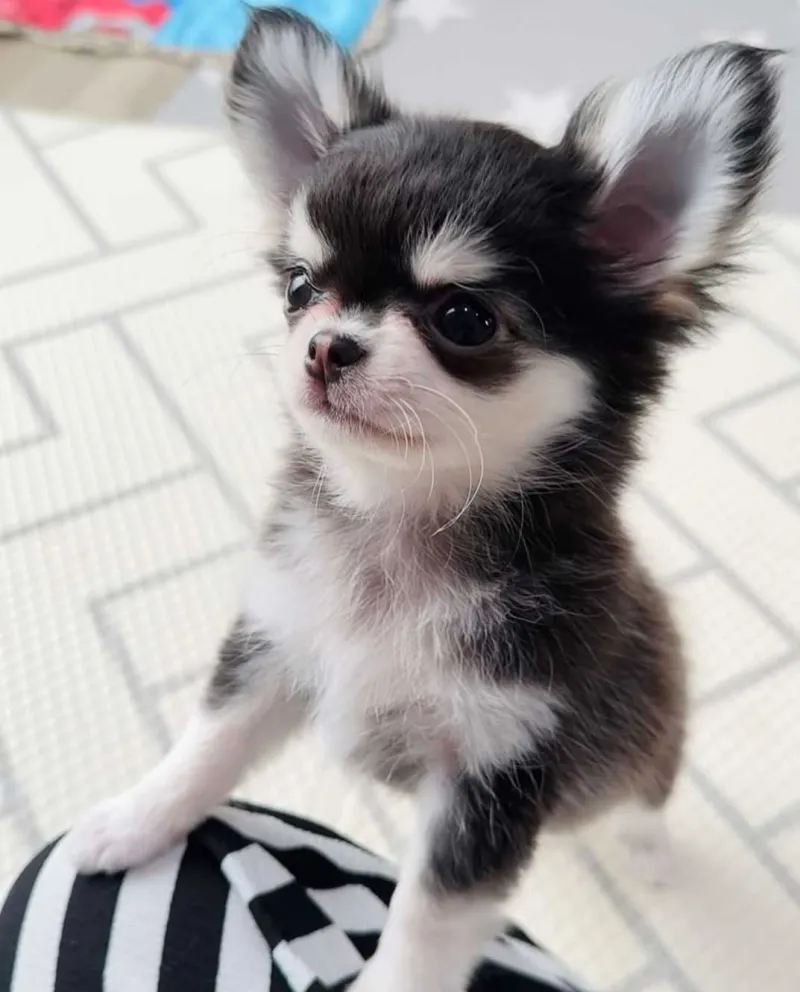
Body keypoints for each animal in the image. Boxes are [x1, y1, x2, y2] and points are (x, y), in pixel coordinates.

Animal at [67, 10, 780, 991]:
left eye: (464, 319)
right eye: (299, 289)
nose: (325, 345)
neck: (397, 525)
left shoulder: (496, 771)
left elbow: (428, 919)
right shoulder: (274, 649)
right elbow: (206, 748)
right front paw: (132, 821)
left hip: (647, 723)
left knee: (648, 789)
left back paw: (650, 852)